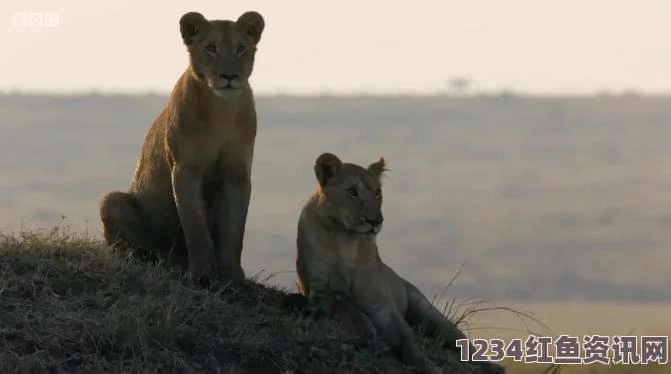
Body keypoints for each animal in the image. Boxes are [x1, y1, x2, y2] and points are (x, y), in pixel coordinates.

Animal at [99, 10, 266, 286]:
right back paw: (166, 262)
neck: (221, 111)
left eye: (241, 48)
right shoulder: (185, 169)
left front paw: (233, 276)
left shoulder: (238, 176)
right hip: (111, 201)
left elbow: (234, 233)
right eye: (211, 48)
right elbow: (194, 225)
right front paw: (203, 273)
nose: (229, 76)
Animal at [294, 153, 504, 374]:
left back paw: (489, 365)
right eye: (351, 192)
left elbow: (405, 337)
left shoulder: (382, 304)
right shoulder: (319, 292)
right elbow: (344, 307)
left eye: (377, 192)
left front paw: (425, 365)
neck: (346, 242)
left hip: (428, 311)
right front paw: (365, 326)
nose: (375, 221)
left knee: (460, 343)